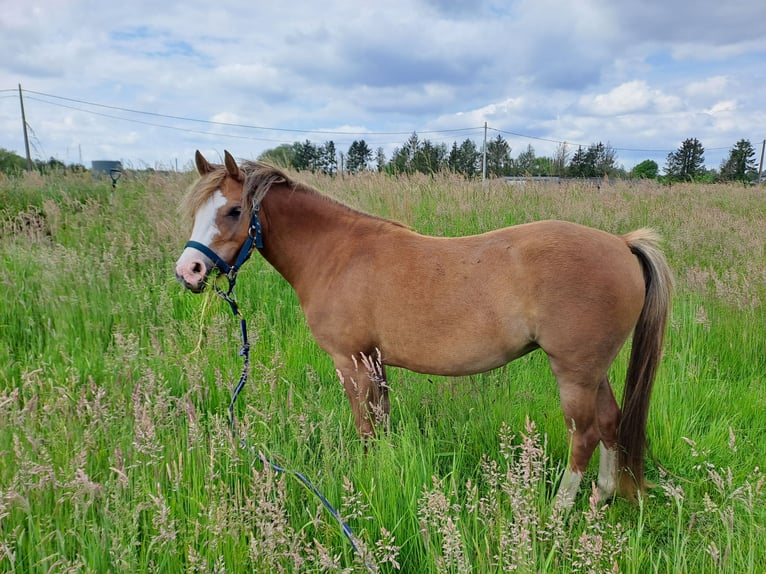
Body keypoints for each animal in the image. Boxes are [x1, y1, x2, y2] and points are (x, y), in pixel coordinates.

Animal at [177, 152, 676, 508]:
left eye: (234, 211)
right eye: (197, 211)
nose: (189, 271)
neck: (337, 253)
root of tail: (622, 244)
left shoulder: (350, 363)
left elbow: (365, 428)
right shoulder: (374, 363)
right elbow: (380, 423)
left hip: (573, 373)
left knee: (585, 433)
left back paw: (558, 511)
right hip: (593, 370)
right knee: (610, 421)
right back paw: (602, 496)